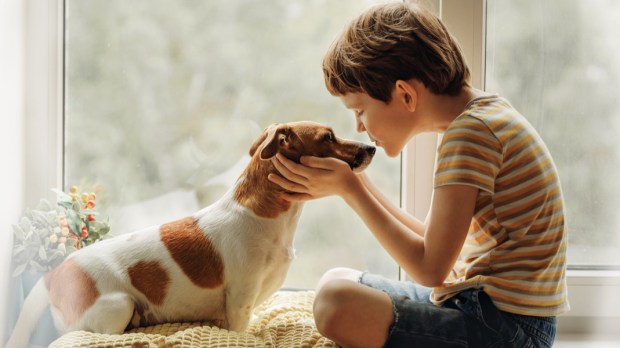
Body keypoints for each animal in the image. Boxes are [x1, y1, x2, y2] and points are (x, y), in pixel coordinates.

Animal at [7, 121, 376, 346]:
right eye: (328, 137)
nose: (372, 147)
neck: (268, 216)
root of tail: (55, 275)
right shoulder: (240, 300)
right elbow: (243, 329)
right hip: (118, 305)